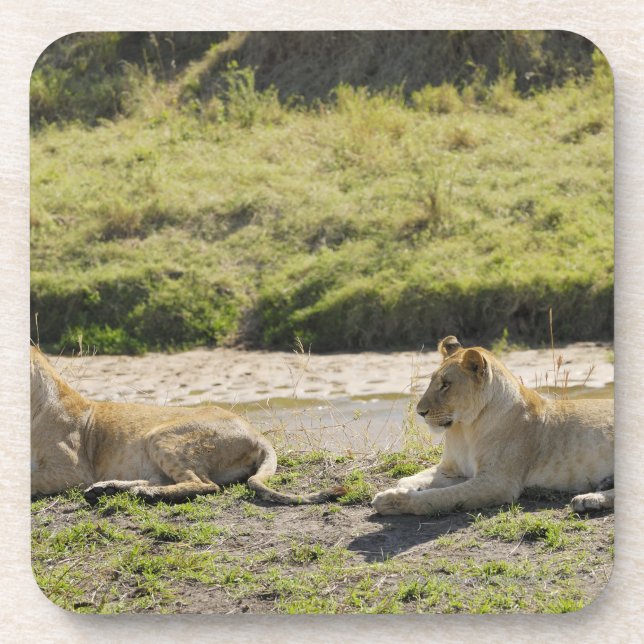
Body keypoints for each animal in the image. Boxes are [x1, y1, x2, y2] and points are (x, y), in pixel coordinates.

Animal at [31, 346, 345, 505]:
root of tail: (256, 433)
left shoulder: (73, 471)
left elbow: (29, 479)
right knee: (167, 480)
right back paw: (107, 489)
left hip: (162, 436)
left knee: (203, 485)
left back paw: (142, 493)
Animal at [371, 336, 614, 516]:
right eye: (432, 382)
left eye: (446, 385)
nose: (420, 412)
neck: (464, 430)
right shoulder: (452, 469)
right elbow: (409, 478)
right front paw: (402, 487)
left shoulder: (497, 482)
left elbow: (440, 497)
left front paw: (392, 501)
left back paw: (588, 499)